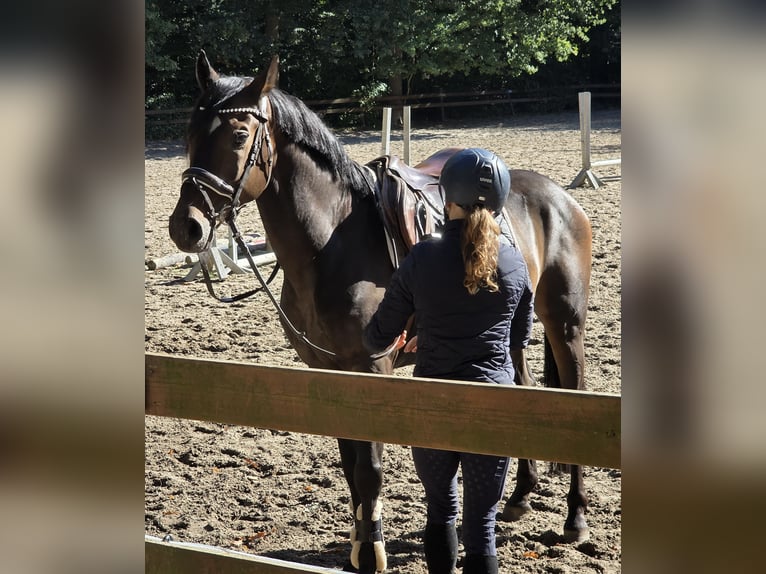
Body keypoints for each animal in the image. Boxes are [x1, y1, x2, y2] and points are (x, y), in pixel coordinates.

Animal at [169, 52, 592, 572]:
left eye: (238, 135)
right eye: (190, 133)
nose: (186, 226)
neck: (331, 243)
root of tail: (559, 196)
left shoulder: (371, 367)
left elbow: (369, 469)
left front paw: (372, 551)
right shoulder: (331, 370)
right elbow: (350, 465)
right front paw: (357, 546)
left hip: (565, 325)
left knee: (574, 394)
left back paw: (575, 518)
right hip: (513, 334)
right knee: (522, 390)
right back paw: (519, 497)